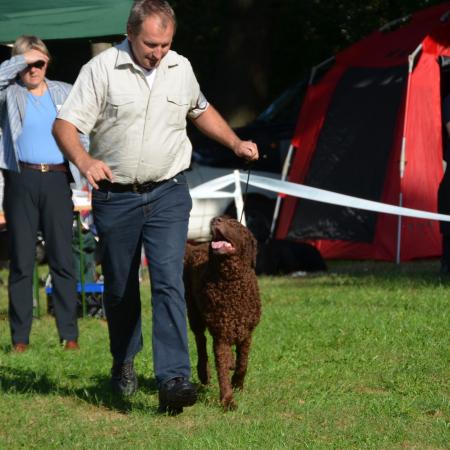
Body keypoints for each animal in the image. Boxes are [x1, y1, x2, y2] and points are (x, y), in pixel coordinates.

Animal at [183, 216, 260, 410]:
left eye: (234, 224)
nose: (215, 219)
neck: (231, 280)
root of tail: (196, 247)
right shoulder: (221, 336)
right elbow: (222, 371)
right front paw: (227, 400)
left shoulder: (246, 333)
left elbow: (243, 363)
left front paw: (238, 384)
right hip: (194, 313)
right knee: (201, 341)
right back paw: (204, 373)